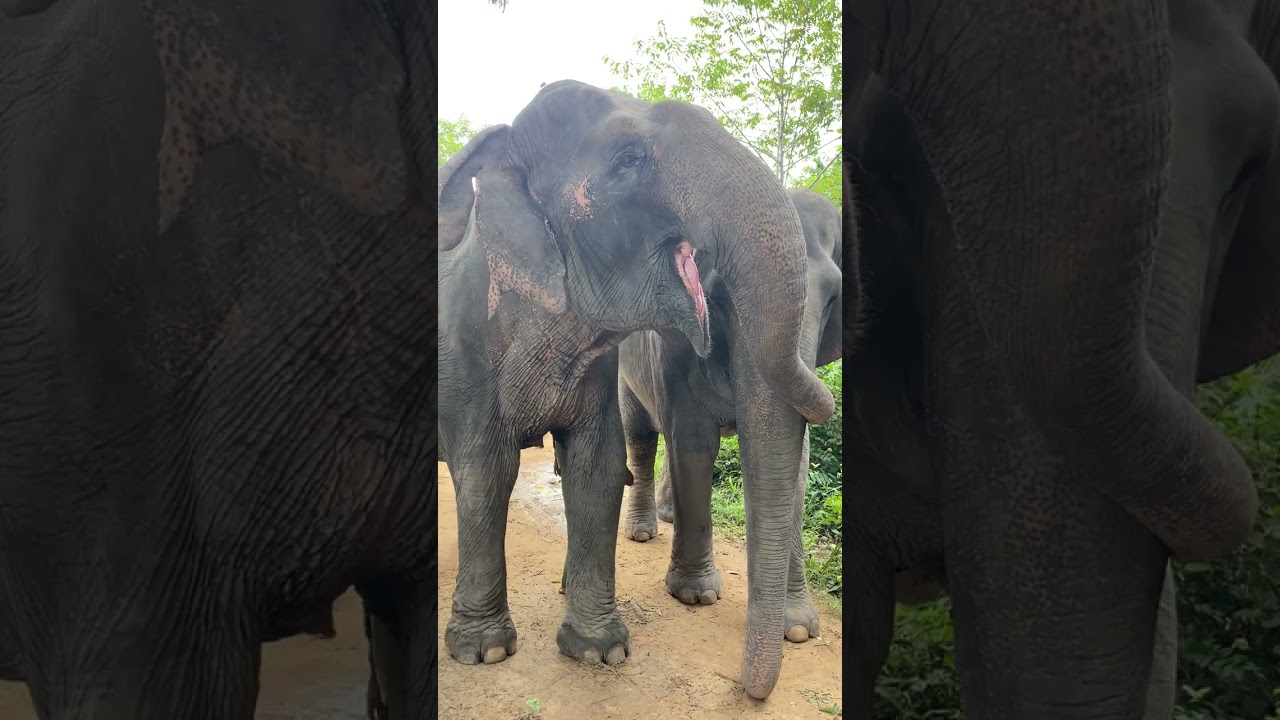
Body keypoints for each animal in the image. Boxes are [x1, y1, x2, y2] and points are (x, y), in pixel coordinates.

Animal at [616, 188, 842, 651]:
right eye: (720, 298)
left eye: (832, 298)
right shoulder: (674, 346)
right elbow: (692, 442)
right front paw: (695, 594)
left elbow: (796, 463)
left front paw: (798, 629)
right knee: (643, 435)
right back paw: (643, 531)